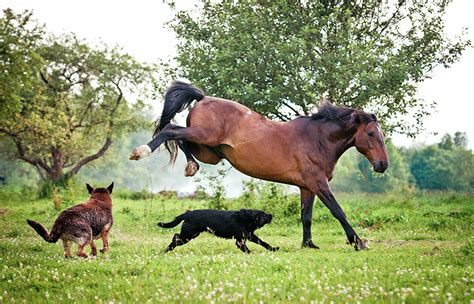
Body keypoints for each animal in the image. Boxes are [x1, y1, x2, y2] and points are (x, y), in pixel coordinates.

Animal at [130, 80, 388, 249]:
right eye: (371, 134)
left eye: (381, 134)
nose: (382, 165)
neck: (317, 139)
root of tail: (203, 98)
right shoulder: (319, 183)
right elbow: (338, 211)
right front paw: (358, 242)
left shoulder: (307, 187)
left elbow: (306, 216)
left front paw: (309, 244)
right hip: (205, 137)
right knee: (170, 129)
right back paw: (140, 151)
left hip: (209, 151)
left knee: (180, 138)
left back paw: (190, 167)